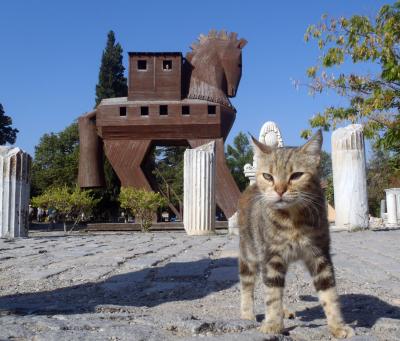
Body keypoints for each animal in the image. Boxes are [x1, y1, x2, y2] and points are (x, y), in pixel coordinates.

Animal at [238, 130, 354, 338]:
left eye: (296, 175)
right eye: (268, 176)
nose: (279, 190)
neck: (293, 220)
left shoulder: (319, 254)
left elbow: (329, 293)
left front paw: (337, 326)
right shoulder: (272, 256)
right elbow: (272, 294)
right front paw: (273, 324)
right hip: (249, 254)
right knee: (248, 285)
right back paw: (247, 315)